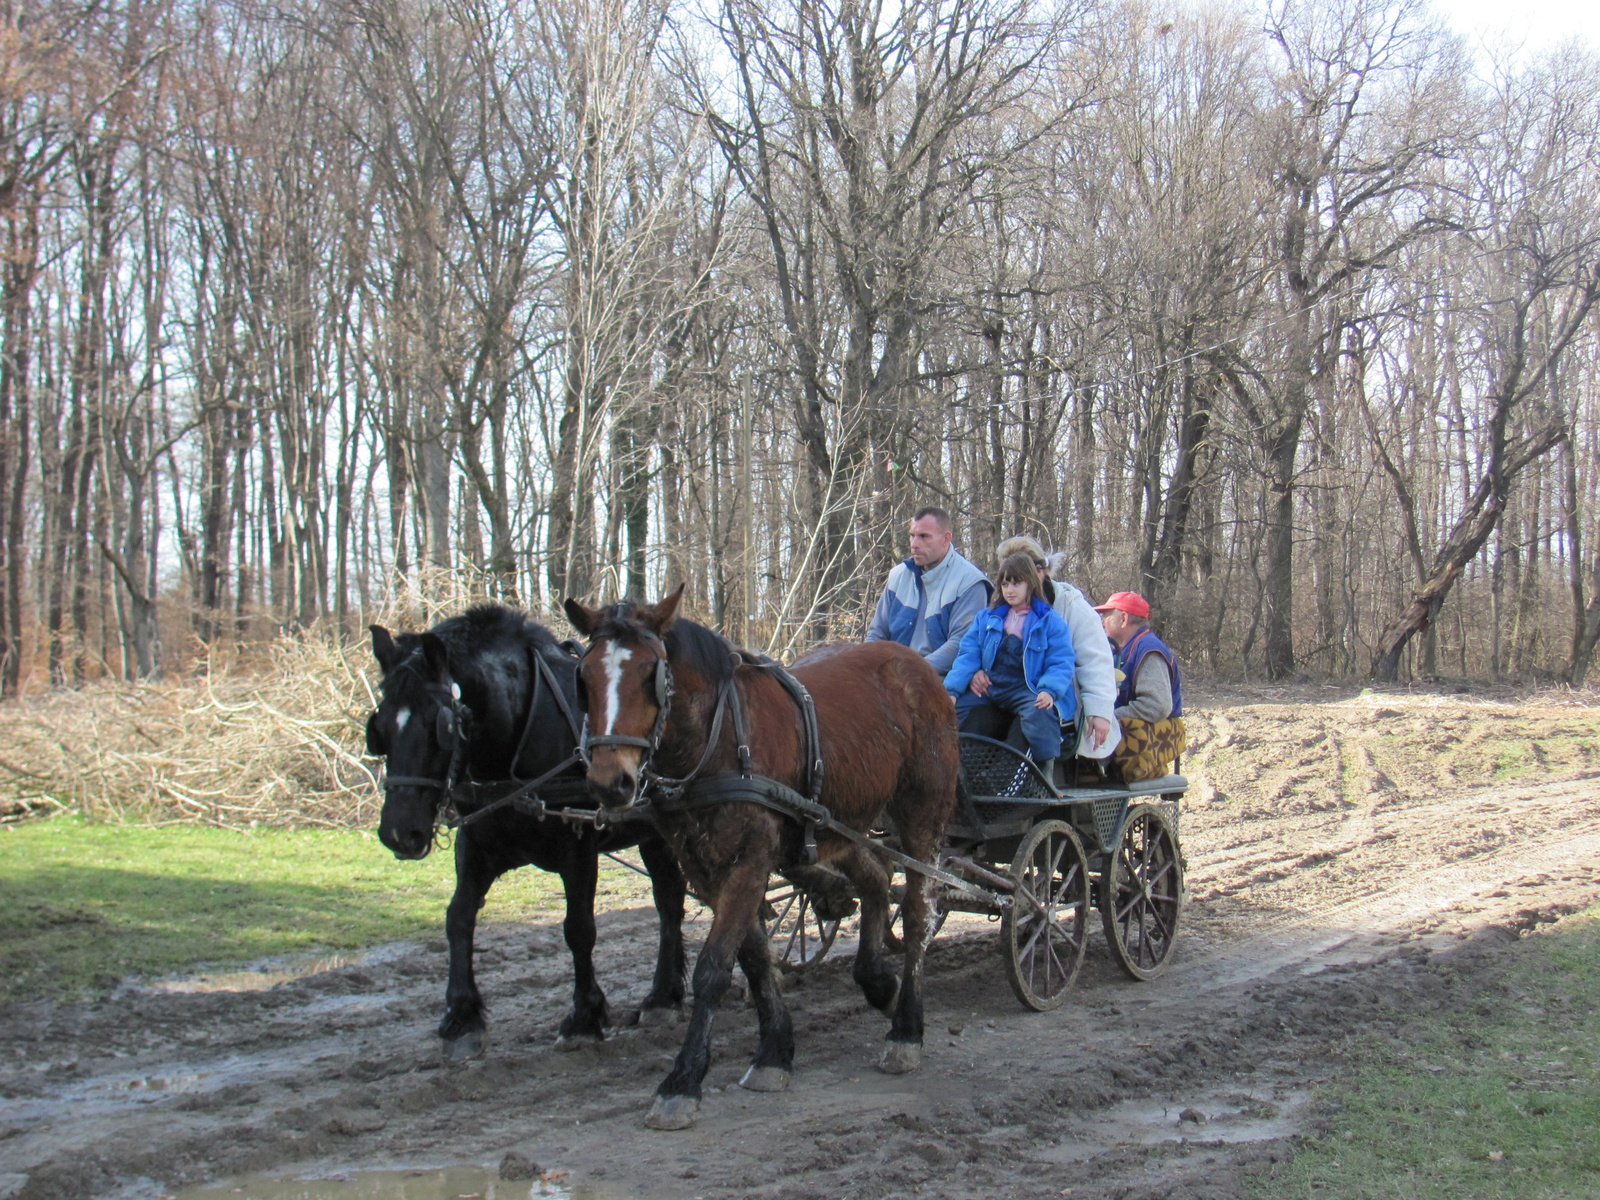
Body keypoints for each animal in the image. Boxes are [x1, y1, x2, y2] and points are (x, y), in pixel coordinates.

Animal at [368, 611, 688, 1062]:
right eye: (378, 726)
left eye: (439, 725)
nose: (399, 832)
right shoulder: (476, 846)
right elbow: (458, 918)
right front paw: (461, 1018)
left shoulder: (578, 845)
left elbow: (579, 928)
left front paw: (584, 1017)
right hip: (654, 832)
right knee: (670, 899)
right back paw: (663, 995)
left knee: (670, 899)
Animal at [566, 595, 960, 1139]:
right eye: (584, 677)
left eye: (651, 674)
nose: (610, 781)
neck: (719, 739)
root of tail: (916, 664)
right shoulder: (708, 870)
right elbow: (752, 958)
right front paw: (775, 1051)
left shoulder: (750, 863)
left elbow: (714, 968)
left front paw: (682, 1081)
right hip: (838, 820)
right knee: (876, 879)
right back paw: (877, 982)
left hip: (923, 813)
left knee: (920, 912)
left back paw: (907, 1028)